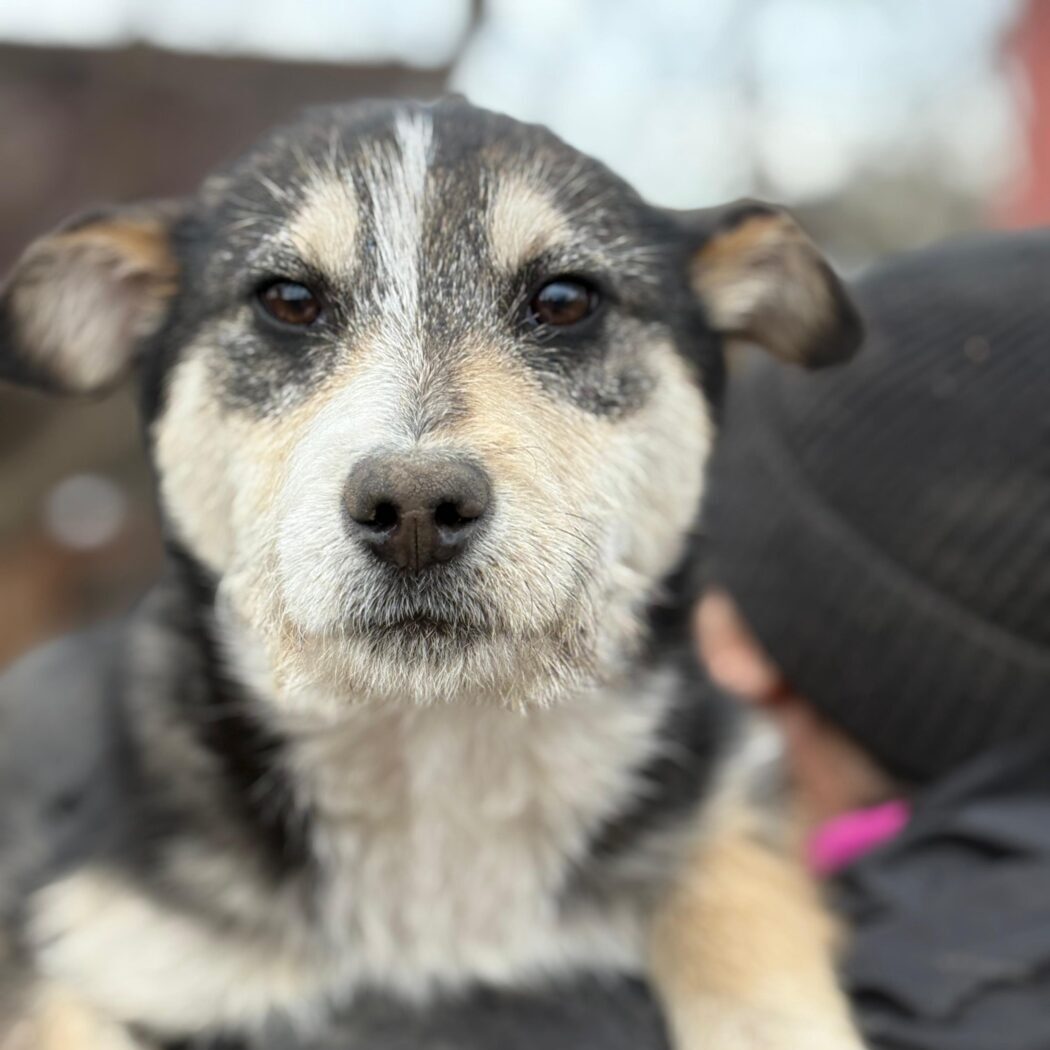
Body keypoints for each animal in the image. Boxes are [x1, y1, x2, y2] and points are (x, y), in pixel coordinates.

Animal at [0, 97, 864, 1049]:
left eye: (565, 299)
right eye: (288, 299)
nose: (414, 507)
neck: (436, 750)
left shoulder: (727, 785)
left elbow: (748, 921)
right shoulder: (78, 941)